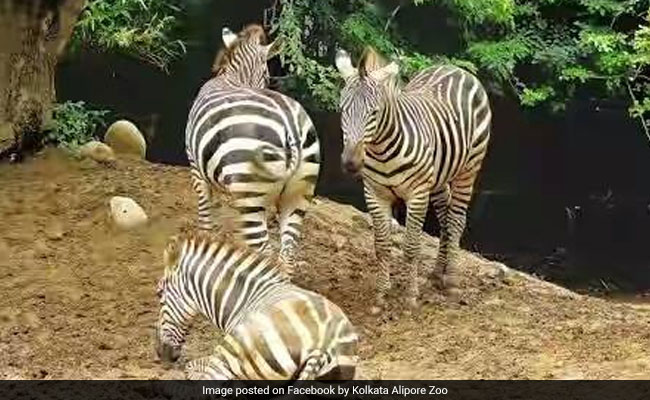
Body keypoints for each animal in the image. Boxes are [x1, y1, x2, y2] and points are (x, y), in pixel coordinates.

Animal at [154, 231, 359, 380]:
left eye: (159, 294)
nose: (160, 354)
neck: (243, 298)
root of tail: (323, 345)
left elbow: (191, 367)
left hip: (231, 354)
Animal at [185, 24, 320, 277]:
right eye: (267, 76)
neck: (232, 78)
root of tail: (290, 124)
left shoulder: (196, 168)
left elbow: (205, 213)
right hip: (298, 193)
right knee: (286, 256)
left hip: (250, 191)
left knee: (265, 252)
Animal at [334, 47, 492, 313]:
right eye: (343, 109)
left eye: (374, 113)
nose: (350, 163)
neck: (381, 150)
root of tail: (455, 68)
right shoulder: (375, 193)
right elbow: (381, 245)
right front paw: (381, 294)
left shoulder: (417, 194)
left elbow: (410, 247)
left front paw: (410, 297)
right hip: (438, 177)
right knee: (445, 216)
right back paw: (437, 273)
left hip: (469, 168)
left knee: (456, 219)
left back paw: (451, 281)